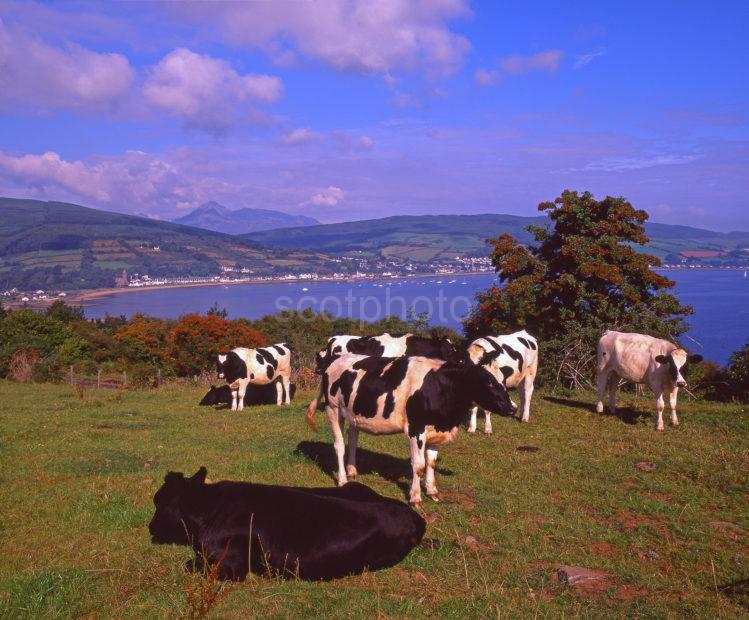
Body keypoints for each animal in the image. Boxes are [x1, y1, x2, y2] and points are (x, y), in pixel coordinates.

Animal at [306, 354, 512, 504]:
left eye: (503, 381)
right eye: (488, 381)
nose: (512, 408)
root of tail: (335, 360)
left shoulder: (436, 430)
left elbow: (431, 463)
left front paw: (432, 491)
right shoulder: (416, 429)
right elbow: (418, 465)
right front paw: (415, 497)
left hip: (354, 415)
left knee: (353, 438)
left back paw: (352, 471)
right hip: (333, 409)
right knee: (339, 444)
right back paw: (342, 479)